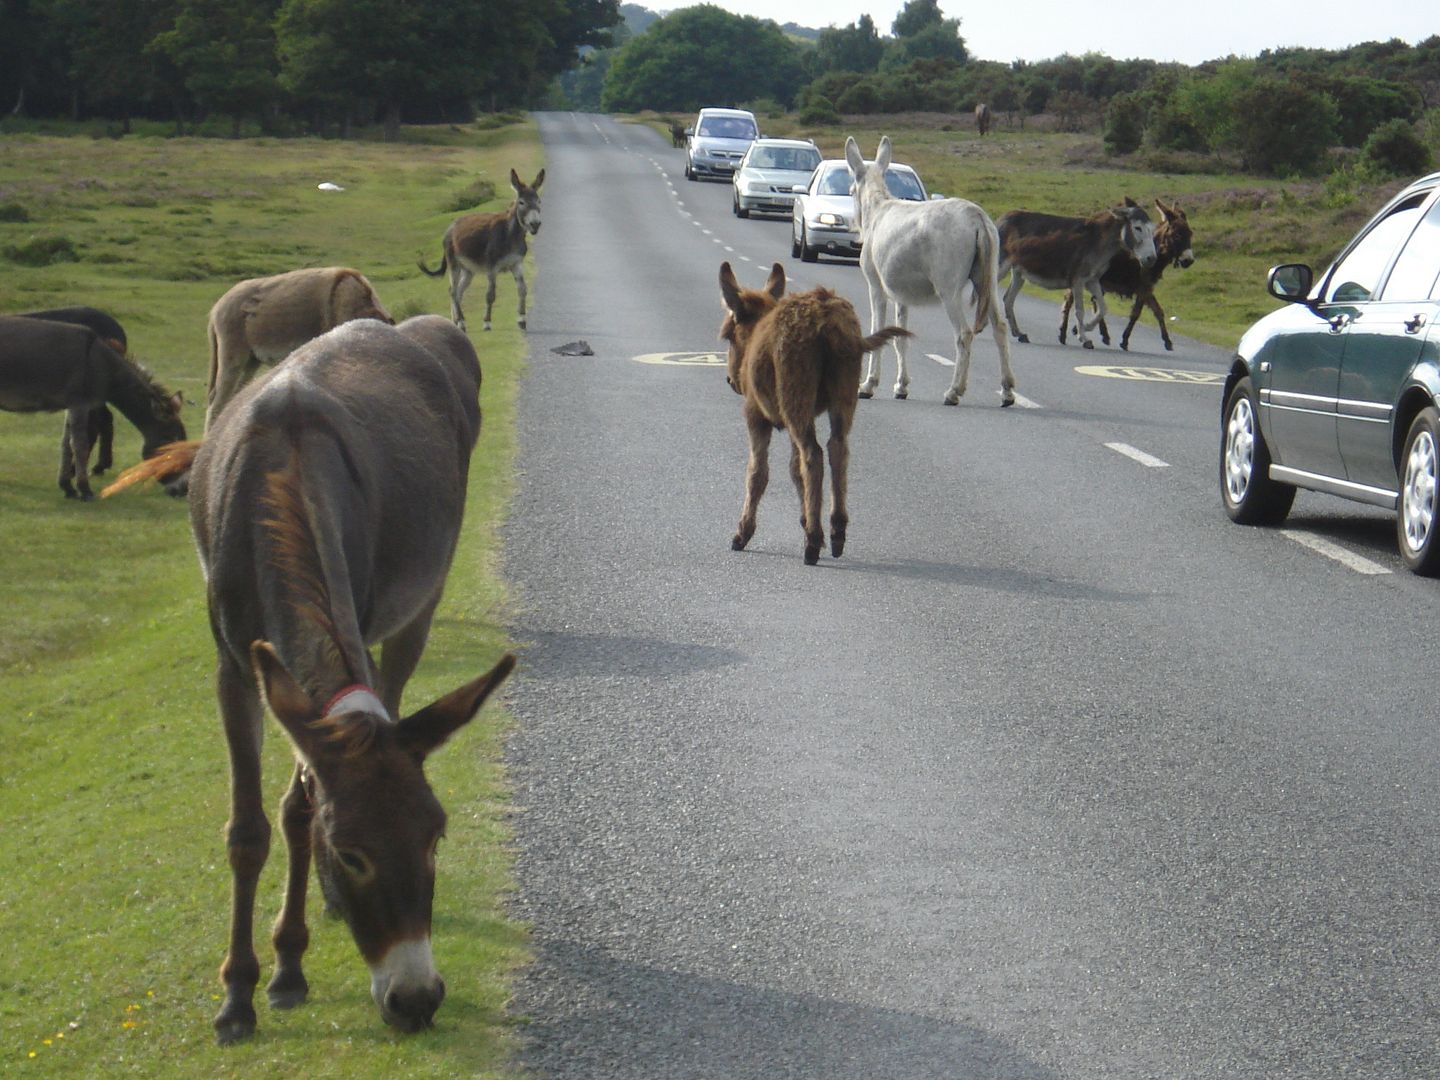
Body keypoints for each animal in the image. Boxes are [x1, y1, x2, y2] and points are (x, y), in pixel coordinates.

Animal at [184, 316, 512, 1042]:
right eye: (352, 851)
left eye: (436, 835)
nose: (416, 1000)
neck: (283, 473)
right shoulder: (232, 666)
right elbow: (249, 831)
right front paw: (238, 995)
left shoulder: (351, 625)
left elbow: (298, 808)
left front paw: (287, 967)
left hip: (421, 598)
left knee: (392, 689)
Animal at [720, 262, 910, 567]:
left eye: (728, 335)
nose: (731, 380)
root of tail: (829, 325)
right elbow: (793, 469)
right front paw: (805, 516)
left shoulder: (755, 413)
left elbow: (758, 473)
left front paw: (742, 533)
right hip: (841, 393)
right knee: (837, 448)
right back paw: (835, 532)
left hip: (795, 393)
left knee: (813, 454)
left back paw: (812, 541)